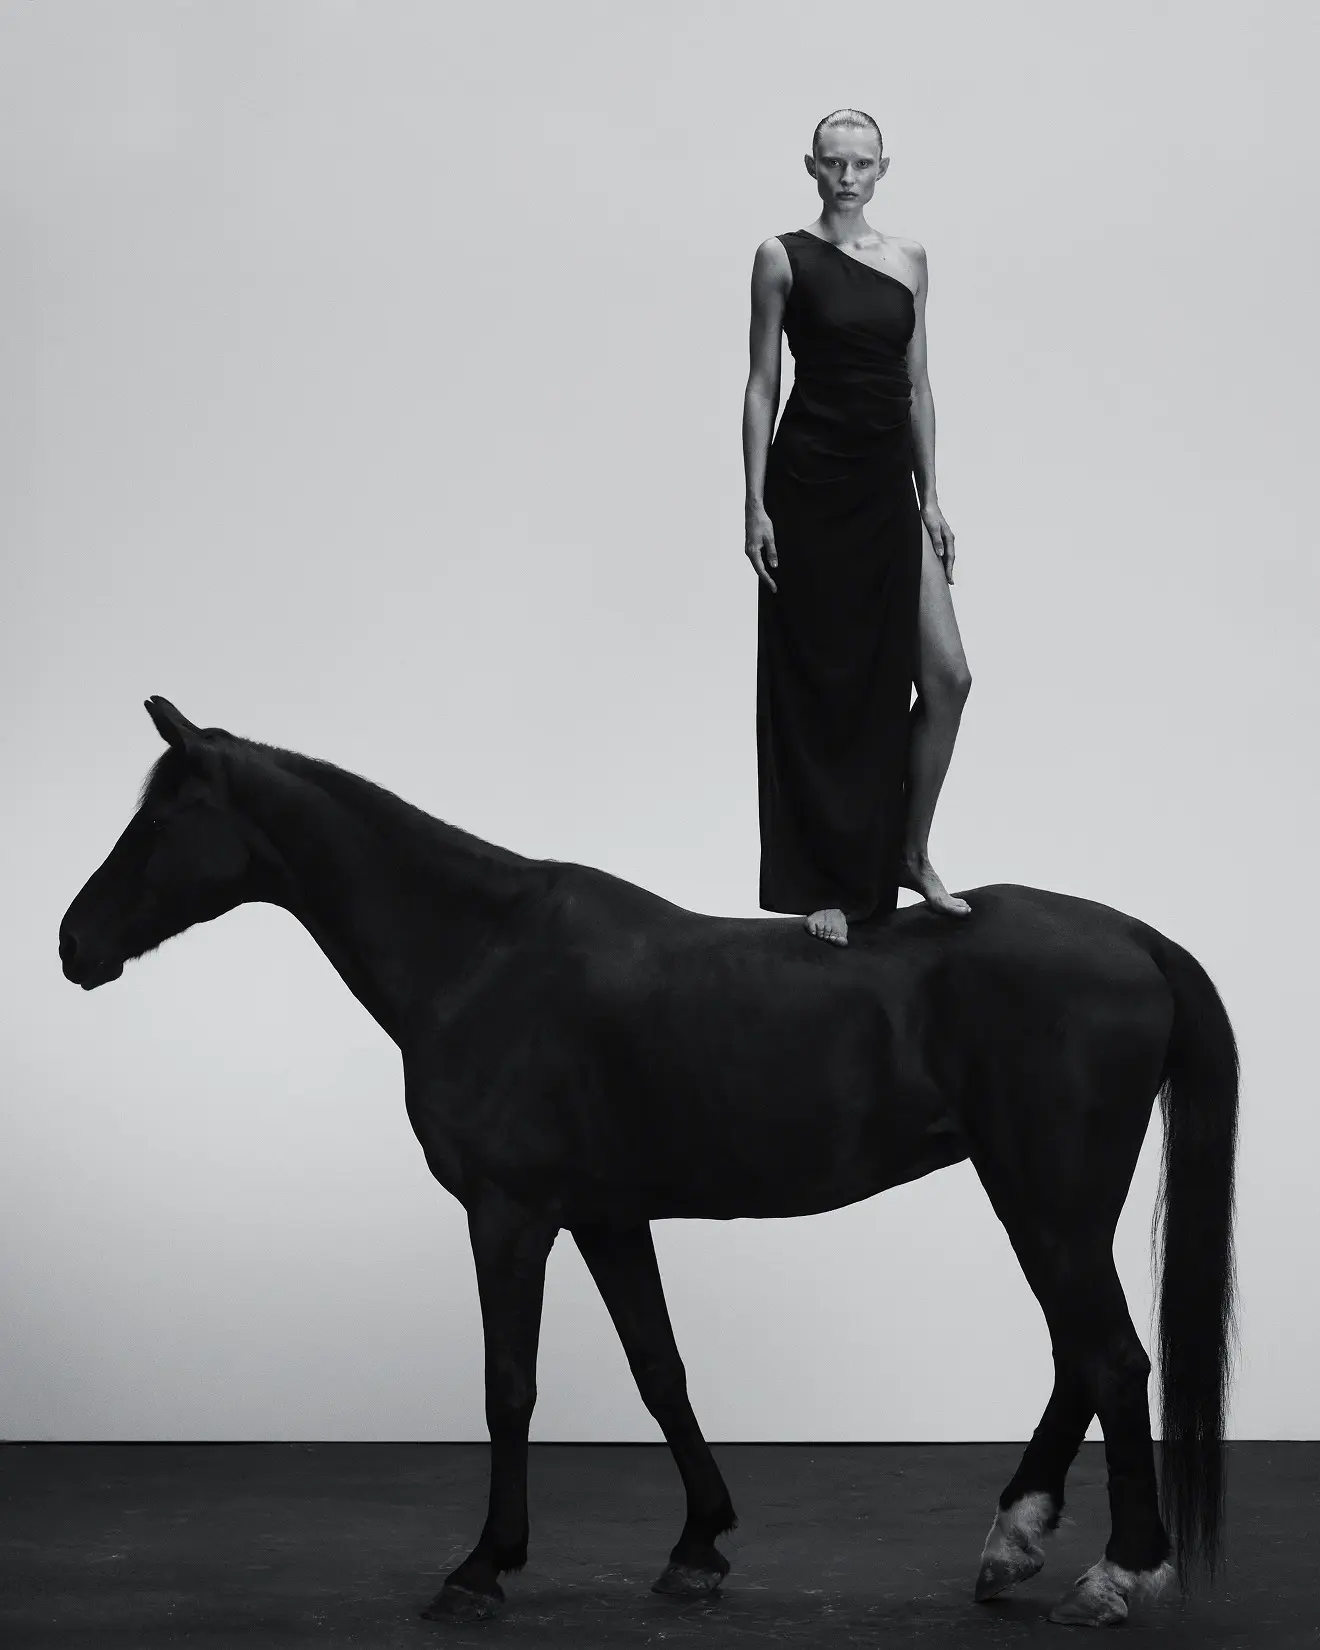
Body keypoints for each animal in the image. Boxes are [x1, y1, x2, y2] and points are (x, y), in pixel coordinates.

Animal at [57, 697, 1239, 1628]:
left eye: (165, 819)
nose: (73, 943)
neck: (479, 956)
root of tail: (1136, 939)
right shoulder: (606, 1216)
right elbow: (660, 1370)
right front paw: (698, 1546)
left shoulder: (509, 1212)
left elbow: (509, 1385)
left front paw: (481, 1569)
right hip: (1041, 1198)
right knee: (1078, 1358)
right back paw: (1013, 1543)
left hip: (1049, 1196)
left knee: (1111, 1358)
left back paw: (1117, 1575)